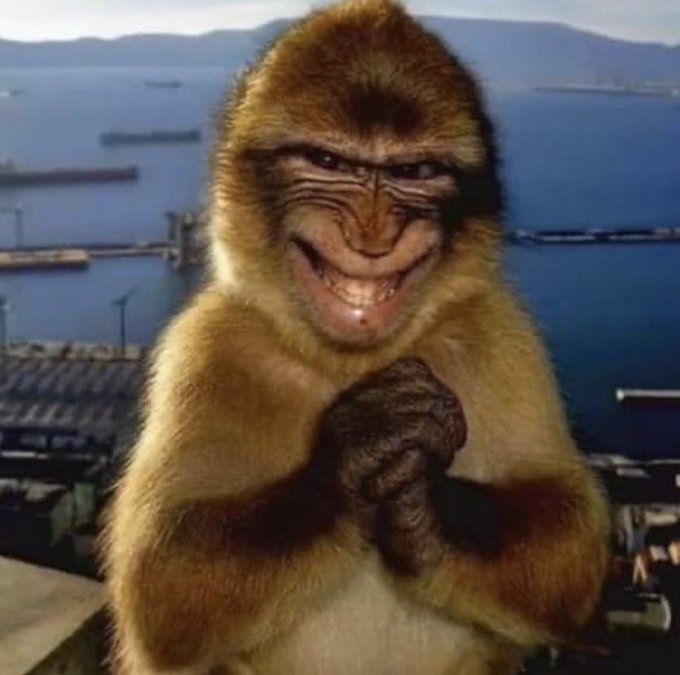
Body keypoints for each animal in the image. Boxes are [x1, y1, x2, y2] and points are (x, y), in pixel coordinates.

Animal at [102, 1, 610, 673]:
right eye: (329, 164)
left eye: (414, 172)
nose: (373, 234)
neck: (351, 363)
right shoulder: (206, 348)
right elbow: (163, 582)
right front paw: (353, 456)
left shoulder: (502, 335)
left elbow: (568, 539)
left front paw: (427, 507)